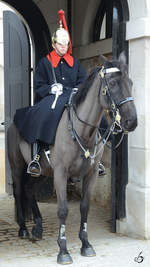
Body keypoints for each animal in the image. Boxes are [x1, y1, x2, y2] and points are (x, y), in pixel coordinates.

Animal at [7, 52, 138, 266]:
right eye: (112, 83)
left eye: (131, 82)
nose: (132, 121)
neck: (83, 131)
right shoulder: (61, 173)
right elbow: (63, 210)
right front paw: (63, 250)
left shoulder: (91, 174)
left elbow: (85, 207)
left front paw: (86, 244)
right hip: (18, 166)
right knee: (19, 191)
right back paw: (23, 228)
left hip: (43, 172)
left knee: (29, 190)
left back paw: (38, 227)